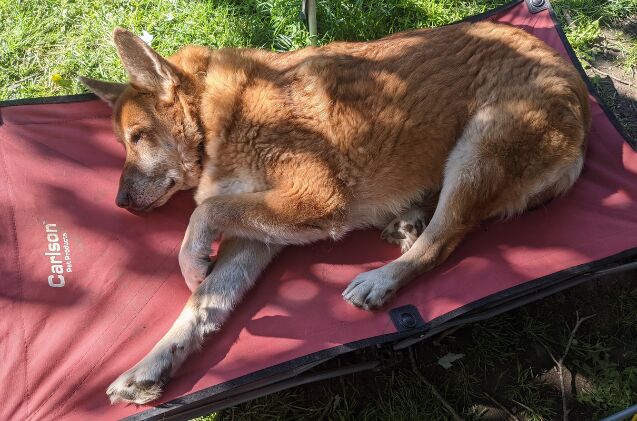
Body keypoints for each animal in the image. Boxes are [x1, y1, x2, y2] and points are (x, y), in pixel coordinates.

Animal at [80, 20, 592, 404]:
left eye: (138, 137)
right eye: (125, 142)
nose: (119, 203)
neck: (217, 115)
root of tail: (577, 86)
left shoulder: (317, 199)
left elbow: (202, 214)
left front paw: (190, 261)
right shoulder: (256, 235)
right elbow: (203, 305)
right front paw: (153, 365)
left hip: (478, 146)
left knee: (445, 238)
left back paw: (383, 276)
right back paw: (408, 216)